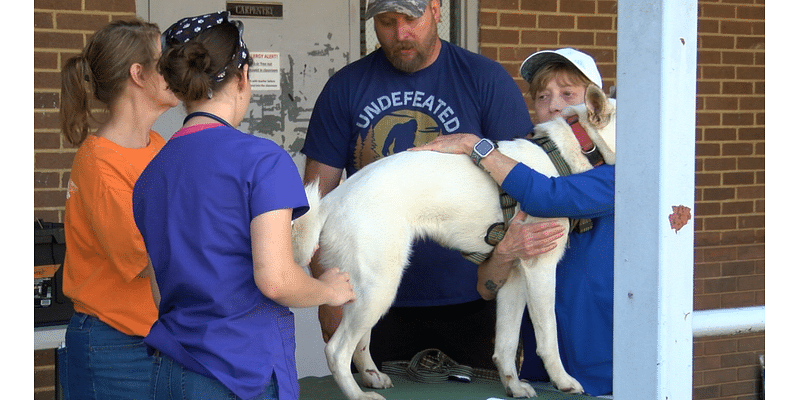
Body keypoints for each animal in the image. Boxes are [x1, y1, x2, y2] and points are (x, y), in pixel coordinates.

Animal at [290, 86, 616, 398]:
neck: (566, 152)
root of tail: (331, 201)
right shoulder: (540, 268)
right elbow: (549, 336)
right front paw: (563, 381)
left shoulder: (512, 274)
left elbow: (506, 344)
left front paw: (513, 387)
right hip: (379, 285)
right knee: (336, 350)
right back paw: (358, 395)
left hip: (368, 288)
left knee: (358, 343)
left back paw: (372, 377)